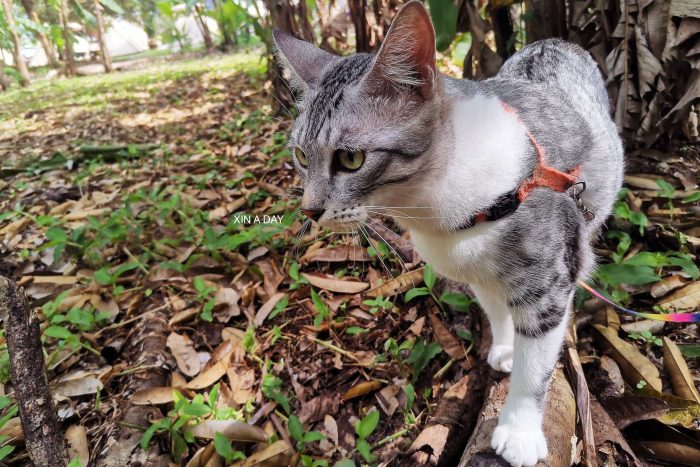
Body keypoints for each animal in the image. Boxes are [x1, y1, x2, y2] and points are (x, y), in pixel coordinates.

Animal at [274, 1, 624, 466]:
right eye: (300, 155)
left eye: (350, 159)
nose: (310, 210)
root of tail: (554, 40)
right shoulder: (478, 276)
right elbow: (496, 311)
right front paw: (506, 347)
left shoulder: (548, 280)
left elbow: (535, 365)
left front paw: (519, 430)